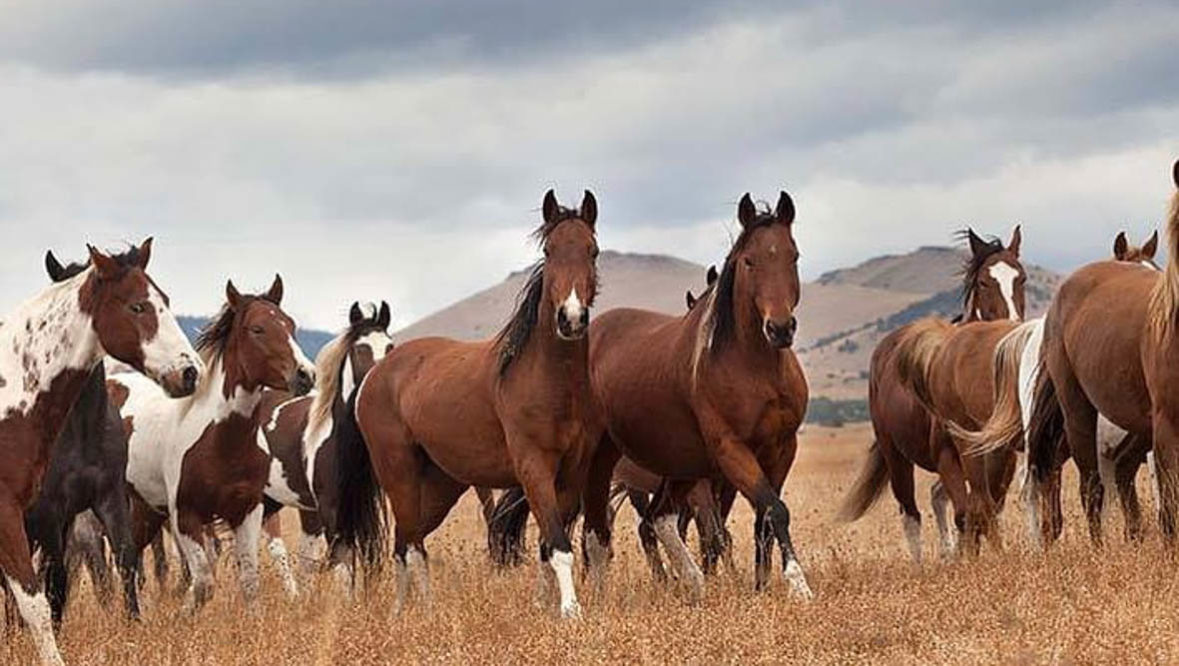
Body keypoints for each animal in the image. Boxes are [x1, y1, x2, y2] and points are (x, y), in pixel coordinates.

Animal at [116, 276, 315, 613]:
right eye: (257, 329)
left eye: (290, 324)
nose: (306, 374)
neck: (222, 443)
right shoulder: (185, 517)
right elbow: (204, 582)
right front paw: (182, 615)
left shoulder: (248, 512)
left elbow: (249, 580)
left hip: (147, 509)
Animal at [255, 300, 394, 595]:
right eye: (360, 349)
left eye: (390, 346)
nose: (380, 382)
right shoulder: (332, 510)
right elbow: (343, 566)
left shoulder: (363, 505)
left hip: (289, 506)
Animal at [335, 190, 600, 618]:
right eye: (549, 250)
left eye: (592, 251)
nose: (571, 318)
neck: (551, 382)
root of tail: (374, 377)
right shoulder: (534, 469)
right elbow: (558, 546)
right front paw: (570, 612)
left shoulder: (572, 473)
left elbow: (549, 545)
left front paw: (545, 607)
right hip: (398, 473)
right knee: (411, 546)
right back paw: (419, 613)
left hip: (439, 486)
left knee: (404, 543)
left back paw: (405, 612)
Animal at [573, 191, 809, 599]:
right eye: (749, 260)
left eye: (792, 255)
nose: (780, 328)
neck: (755, 367)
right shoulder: (730, 451)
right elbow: (771, 511)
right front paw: (798, 585)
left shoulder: (780, 449)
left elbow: (763, 518)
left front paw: (761, 586)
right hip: (605, 465)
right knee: (597, 531)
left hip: (678, 465)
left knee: (658, 520)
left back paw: (693, 582)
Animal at [840, 226, 1025, 561]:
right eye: (984, 282)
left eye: (1022, 278)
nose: (1010, 329)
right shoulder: (947, 457)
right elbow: (968, 513)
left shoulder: (1002, 459)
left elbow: (988, 510)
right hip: (896, 456)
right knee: (911, 513)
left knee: (939, 497)